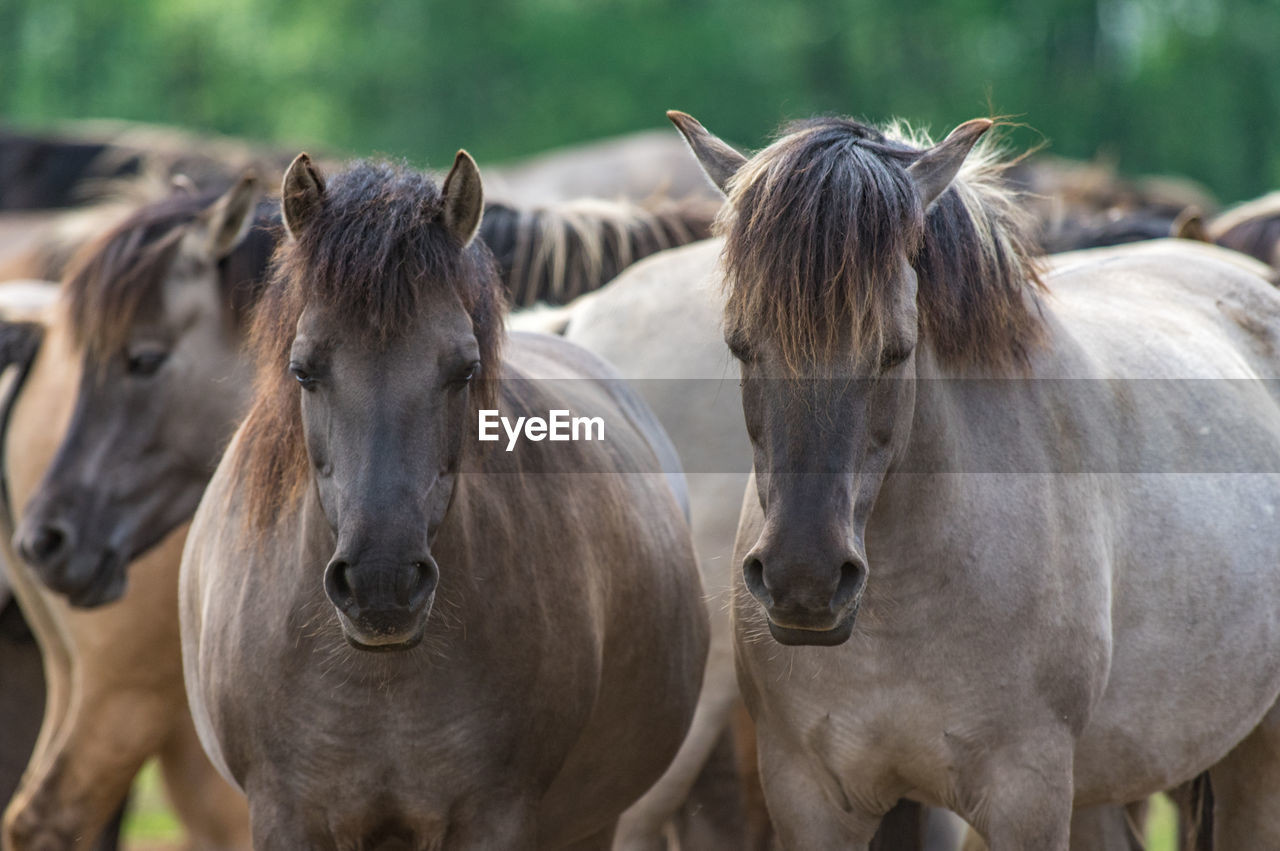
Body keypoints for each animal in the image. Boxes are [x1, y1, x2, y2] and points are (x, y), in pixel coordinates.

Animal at [175, 156, 706, 844]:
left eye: (463, 369)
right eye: (303, 370)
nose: (382, 585)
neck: (382, 680)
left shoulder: (495, 817)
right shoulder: (284, 817)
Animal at [665, 109, 1280, 844]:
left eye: (895, 351)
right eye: (741, 345)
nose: (803, 581)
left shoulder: (1025, 798)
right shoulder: (810, 799)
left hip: (1252, 756)